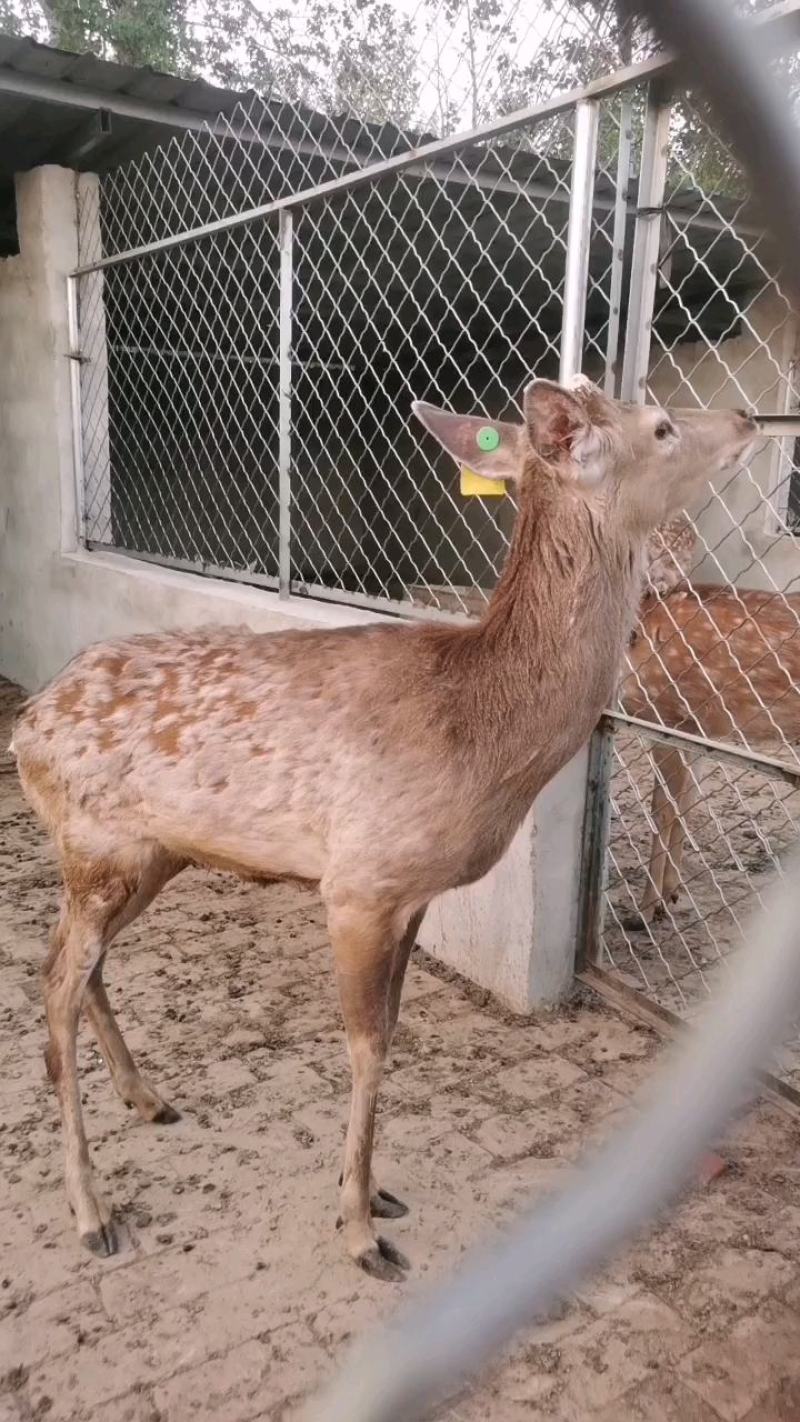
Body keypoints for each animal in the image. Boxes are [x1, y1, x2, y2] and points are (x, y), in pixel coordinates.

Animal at [10, 377, 755, 1281]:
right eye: (662, 425)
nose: (749, 419)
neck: (480, 731)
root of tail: (26, 726)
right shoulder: (360, 882)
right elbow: (367, 1044)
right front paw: (361, 1228)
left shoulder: (417, 892)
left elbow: (394, 1028)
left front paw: (374, 1193)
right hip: (96, 846)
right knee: (55, 983)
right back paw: (92, 1211)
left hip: (149, 855)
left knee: (77, 966)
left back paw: (148, 1098)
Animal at [620, 520, 800, 926]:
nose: (660, 579)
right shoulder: (698, 728)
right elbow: (686, 803)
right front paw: (670, 894)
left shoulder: (670, 717)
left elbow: (664, 808)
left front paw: (645, 909)